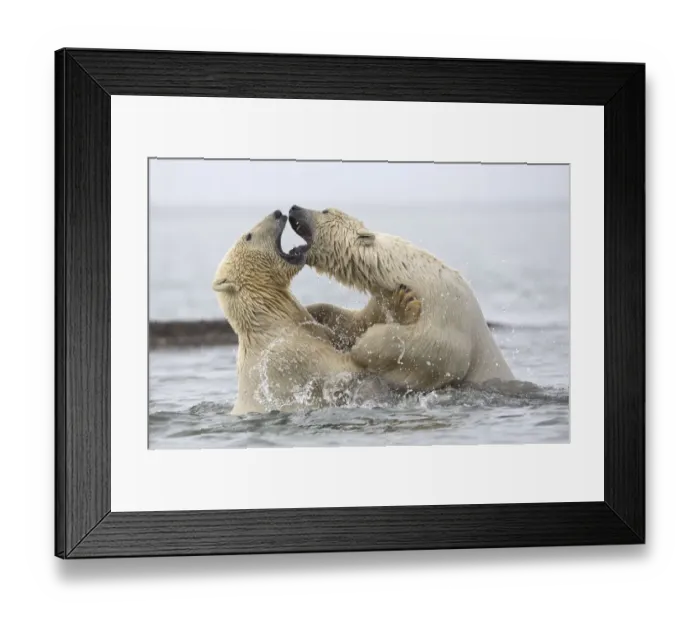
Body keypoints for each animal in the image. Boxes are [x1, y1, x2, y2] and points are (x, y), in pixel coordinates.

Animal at [213, 210, 419, 414]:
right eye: (248, 236)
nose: (277, 213)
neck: (268, 320)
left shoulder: (309, 327)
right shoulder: (290, 355)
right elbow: (347, 366)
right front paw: (402, 304)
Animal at [288, 205, 515, 392]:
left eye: (325, 210)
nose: (294, 208)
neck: (409, 273)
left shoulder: (445, 315)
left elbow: (426, 350)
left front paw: (364, 345)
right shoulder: (382, 299)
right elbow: (355, 322)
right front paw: (313, 313)